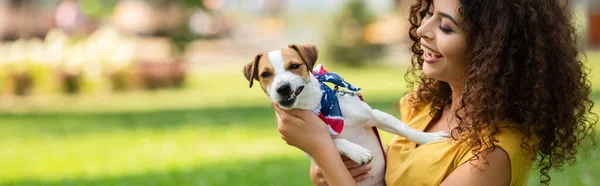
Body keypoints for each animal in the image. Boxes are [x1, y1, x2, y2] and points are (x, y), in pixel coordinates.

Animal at [241, 44, 448, 185]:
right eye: (265, 74)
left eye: (294, 65)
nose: (283, 88)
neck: (321, 106)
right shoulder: (309, 146)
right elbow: (335, 140)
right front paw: (357, 152)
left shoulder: (375, 116)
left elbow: (405, 129)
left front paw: (429, 138)